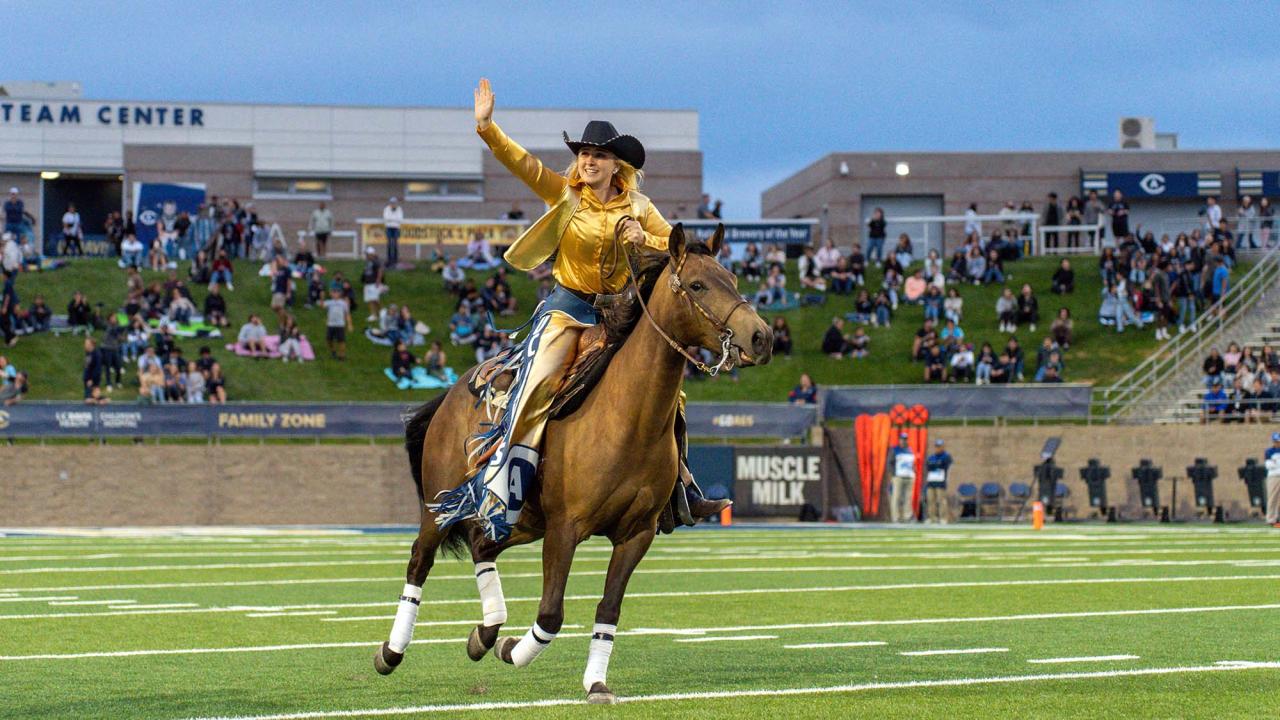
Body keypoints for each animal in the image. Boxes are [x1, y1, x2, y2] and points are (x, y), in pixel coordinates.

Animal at [371, 224, 768, 702]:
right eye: (697, 285)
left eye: (733, 278)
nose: (762, 337)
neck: (628, 416)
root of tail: (450, 393)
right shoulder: (565, 529)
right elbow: (550, 614)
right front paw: (512, 650)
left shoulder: (636, 534)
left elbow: (608, 609)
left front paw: (595, 682)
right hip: (440, 509)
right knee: (420, 560)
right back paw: (393, 652)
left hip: (523, 519)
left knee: (483, 546)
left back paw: (485, 634)